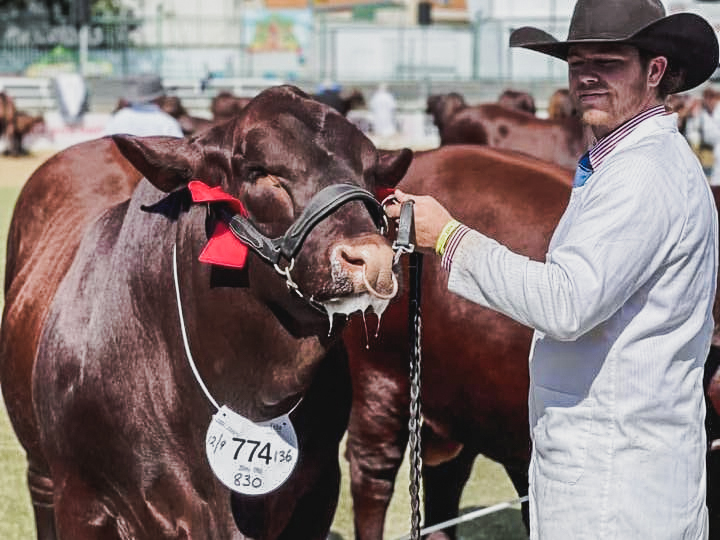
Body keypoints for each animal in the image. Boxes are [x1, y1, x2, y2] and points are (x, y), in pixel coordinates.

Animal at [0, 84, 414, 540]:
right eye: (259, 170)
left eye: (372, 175)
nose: (372, 259)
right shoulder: (83, 500)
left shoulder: (318, 492)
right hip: (42, 468)